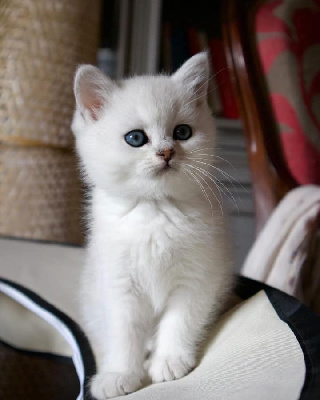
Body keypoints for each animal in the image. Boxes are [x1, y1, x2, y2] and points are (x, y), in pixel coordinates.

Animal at [72, 51, 232, 398]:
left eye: (182, 132)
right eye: (136, 138)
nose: (166, 152)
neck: (155, 210)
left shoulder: (198, 276)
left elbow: (180, 320)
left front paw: (169, 361)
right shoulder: (118, 283)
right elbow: (124, 332)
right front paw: (119, 374)